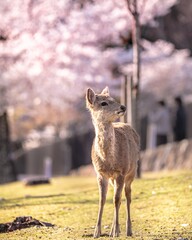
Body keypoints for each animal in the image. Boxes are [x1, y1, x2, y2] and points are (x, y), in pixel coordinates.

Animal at [86, 86, 140, 238]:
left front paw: (115, 231)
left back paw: (128, 230)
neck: (109, 160)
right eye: (103, 103)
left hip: (132, 172)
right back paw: (113, 230)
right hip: (113, 179)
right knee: (120, 198)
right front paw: (97, 232)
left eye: (114, 99)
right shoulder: (100, 174)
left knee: (127, 196)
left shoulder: (121, 171)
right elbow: (102, 200)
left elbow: (116, 199)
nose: (123, 106)